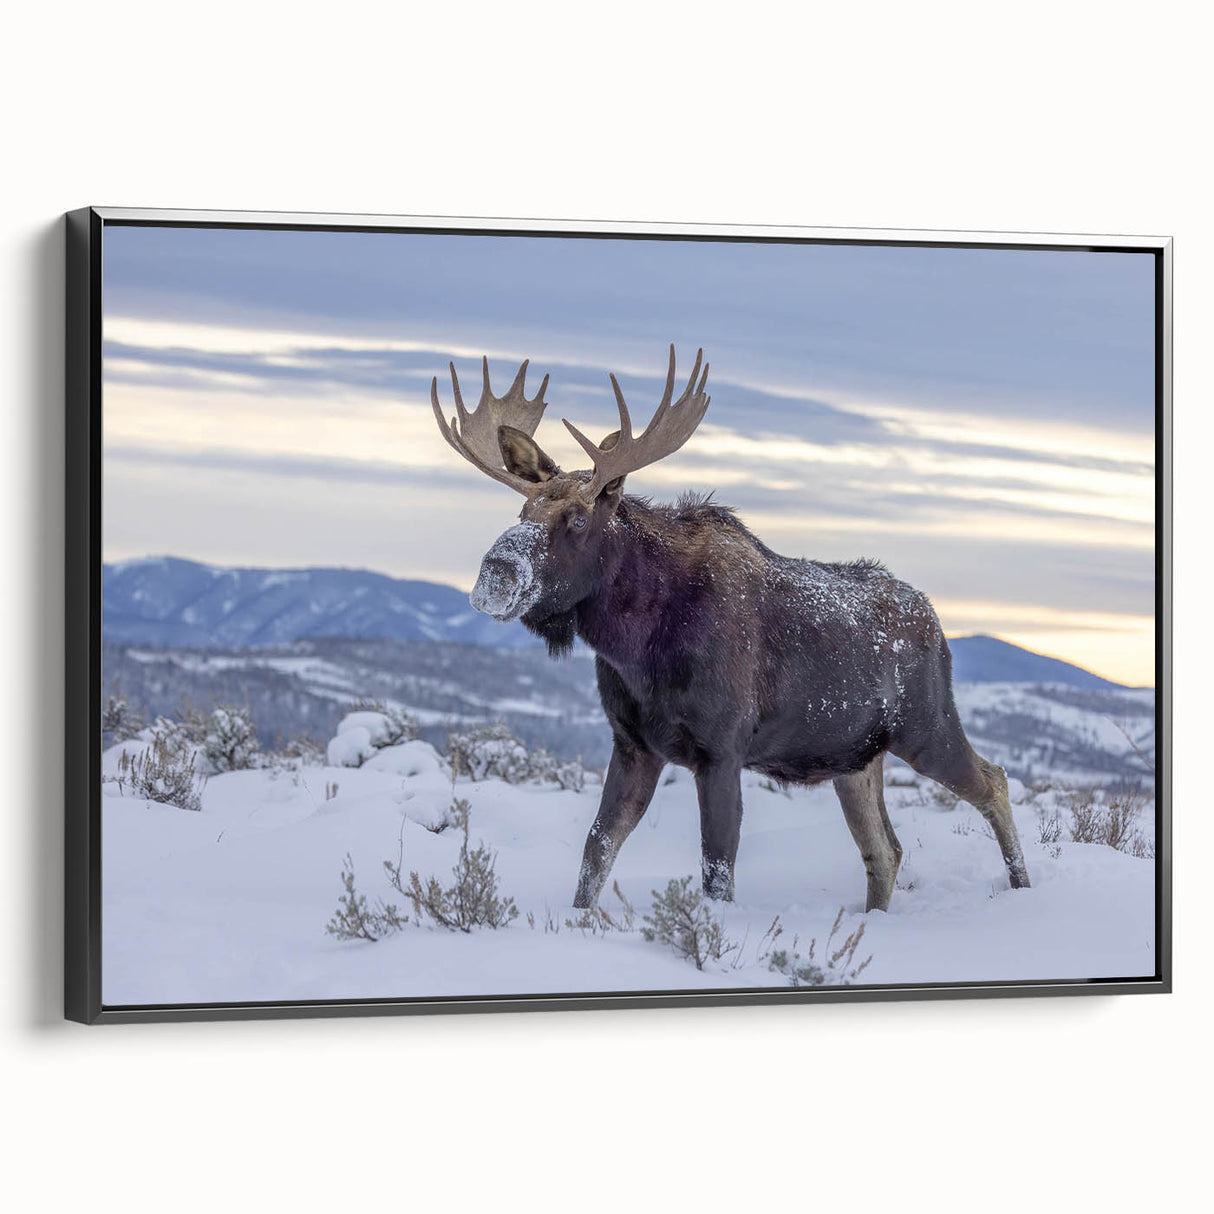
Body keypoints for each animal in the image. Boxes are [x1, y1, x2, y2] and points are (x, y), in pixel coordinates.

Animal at [430, 346, 1030, 911]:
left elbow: (717, 870)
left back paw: (1023, 889)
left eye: (576, 519)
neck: (637, 644)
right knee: (886, 849)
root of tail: (936, 623)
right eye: (523, 512)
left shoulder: (720, 751)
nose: (494, 573)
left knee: (994, 782)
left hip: (927, 727)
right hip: (855, 759)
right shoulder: (633, 745)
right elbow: (596, 850)